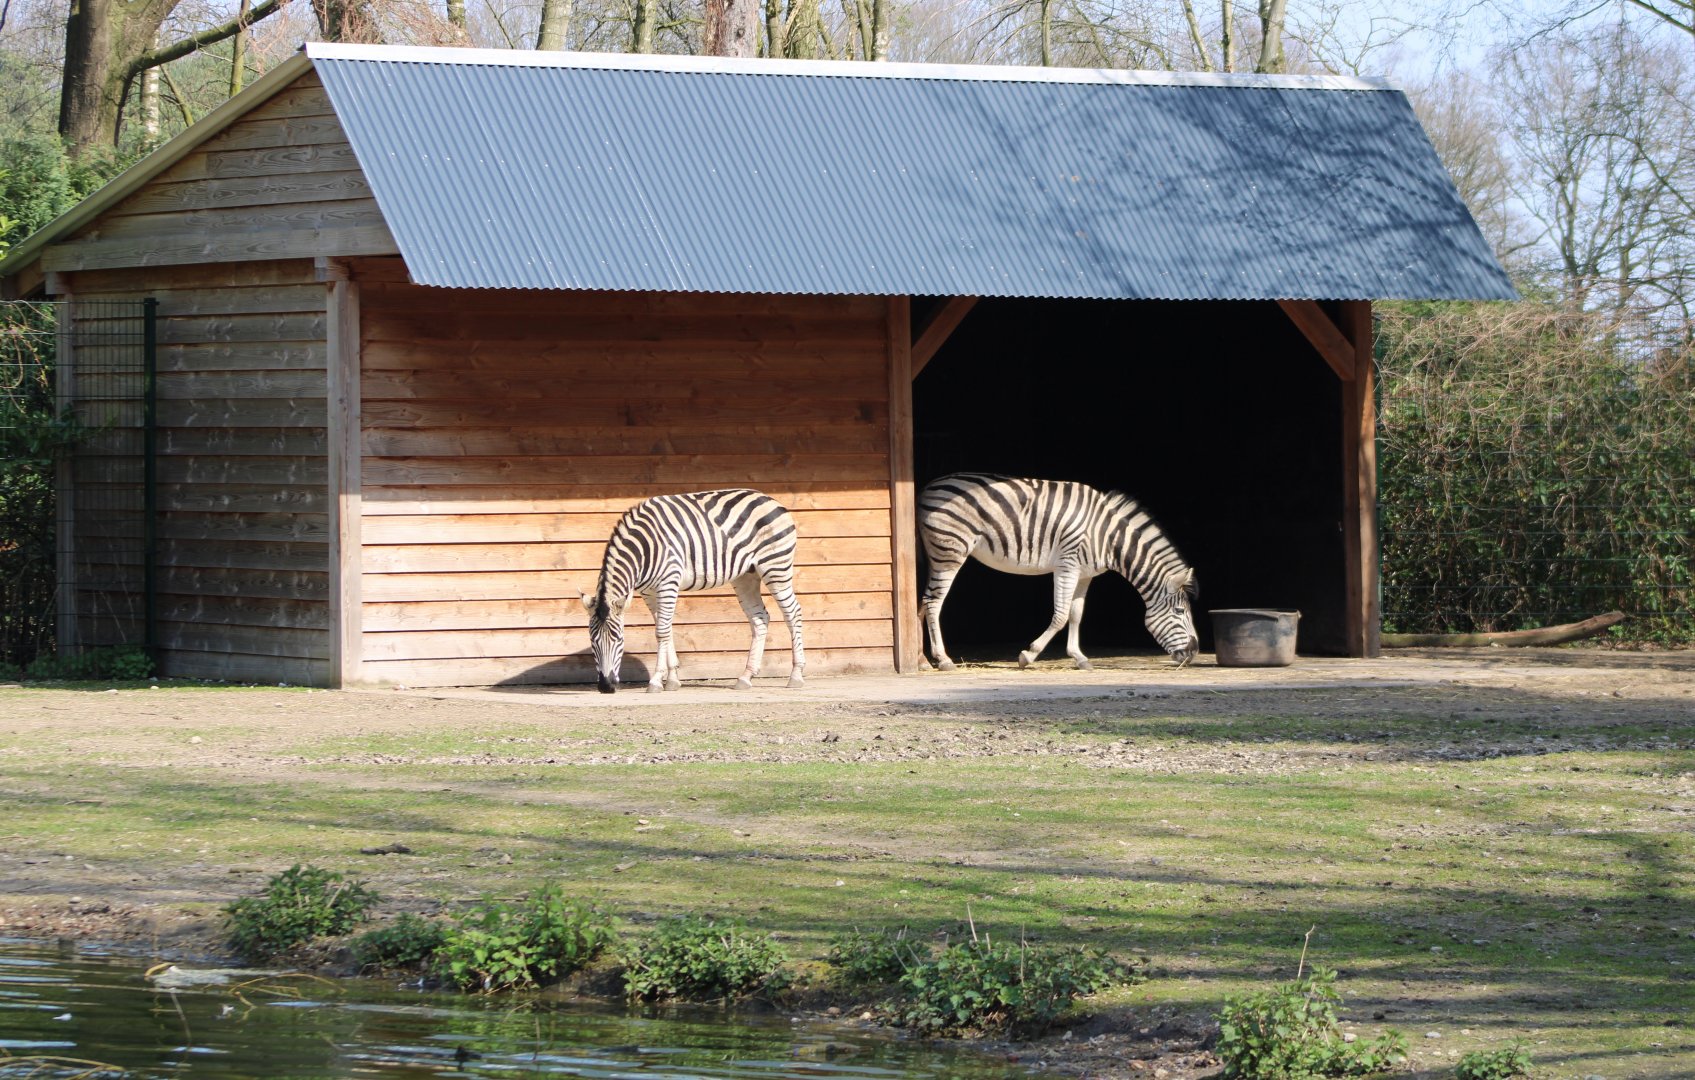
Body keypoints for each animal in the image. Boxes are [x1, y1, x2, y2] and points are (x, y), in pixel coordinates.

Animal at [579, 489, 806, 694]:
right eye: (592, 640)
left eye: (618, 638)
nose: (606, 686)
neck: (644, 549)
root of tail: (771, 499)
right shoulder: (648, 592)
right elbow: (665, 628)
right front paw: (672, 679)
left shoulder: (668, 583)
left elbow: (662, 631)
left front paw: (656, 681)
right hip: (746, 576)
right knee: (760, 618)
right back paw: (746, 677)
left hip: (775, 566)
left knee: (793, 612)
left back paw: (796, 675)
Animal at [918, 473, 1199, 670]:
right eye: (1179, 611)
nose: (1194, 652)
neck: (1106, 537)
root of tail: (929, 486)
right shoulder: (1068, 565)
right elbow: (1061, 615)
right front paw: (1028, 655)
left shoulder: (1086, 574)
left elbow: (1076, 615)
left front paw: (1080, 658)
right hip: (951, 552)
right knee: (933, 602)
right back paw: (943, 660)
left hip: (937, 553)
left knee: (922, 601)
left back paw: (922, 660)